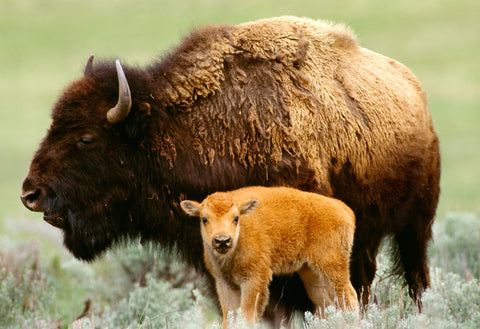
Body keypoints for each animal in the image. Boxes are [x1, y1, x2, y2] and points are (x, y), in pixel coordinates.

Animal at [182, 186, 358, 326]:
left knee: (349, 298)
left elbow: (247, 316)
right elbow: (229, 317)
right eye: (204, 218)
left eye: (236, 218)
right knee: (326, 303)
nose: (222, 240)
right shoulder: (224, 284)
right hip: (311, 272)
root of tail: (344, 209)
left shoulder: (254, 279)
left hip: (332, 267)